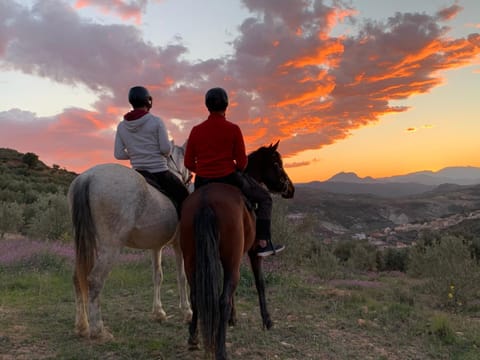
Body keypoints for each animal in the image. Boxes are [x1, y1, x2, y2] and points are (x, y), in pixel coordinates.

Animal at [68, 143, 192, 340]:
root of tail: (88, 177)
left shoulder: (156, 247)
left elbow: (158, 276)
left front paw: (158, 313)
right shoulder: (179, 245)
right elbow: (182, 277)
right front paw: (187, 312)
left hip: (85, 244)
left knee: (77, 278)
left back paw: (82, 326)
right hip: (111, 248)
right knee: (94, 280)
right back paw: (99, 330)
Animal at [179, 142, 294, 360]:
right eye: (277, 163)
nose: (290, 189)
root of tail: (205, 201)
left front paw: (233, 318)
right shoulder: (253, 253)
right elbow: (260, 284)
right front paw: (267, 320)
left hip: (191, 260)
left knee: (196, 295)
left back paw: (193, 337)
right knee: (222, 299)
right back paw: (221, 350)